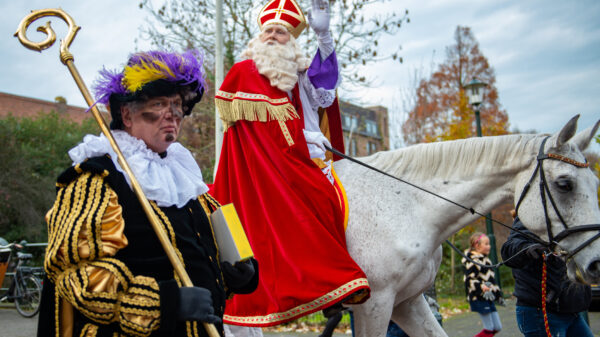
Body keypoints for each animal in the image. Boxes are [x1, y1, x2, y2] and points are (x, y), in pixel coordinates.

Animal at [338, 115, 600, 336]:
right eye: (564, 184)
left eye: (595, 182)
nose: (597, 264)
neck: (405, 205)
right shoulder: (375, 303)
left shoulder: (406, 302)